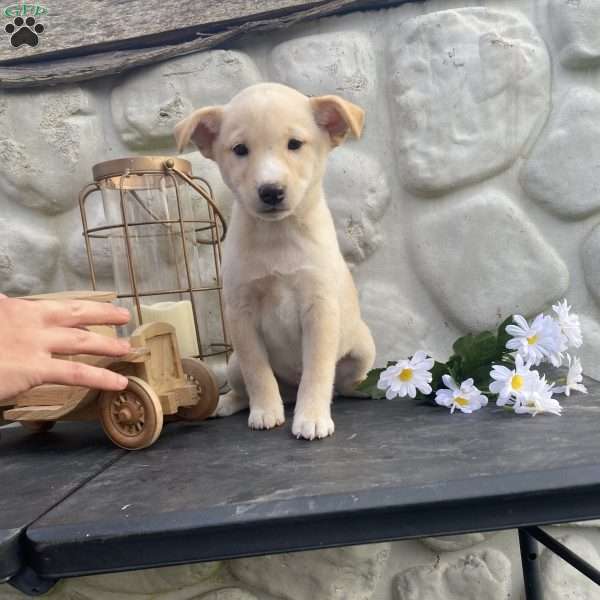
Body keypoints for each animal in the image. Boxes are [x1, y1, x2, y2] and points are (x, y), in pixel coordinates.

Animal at [173, 82, 378, 440]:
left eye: (294, 144)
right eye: (240, 149)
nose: (270, 191)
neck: (277, 236)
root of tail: (290, 392)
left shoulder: (320, 310)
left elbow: (318, 372)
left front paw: (312, 417)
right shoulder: (241, 315)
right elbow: (258, 372)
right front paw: (266, 411)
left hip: (363, 347)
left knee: (342, 384)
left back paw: (359, 390)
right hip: (232, 363)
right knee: (243, 388)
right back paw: (227, 403)